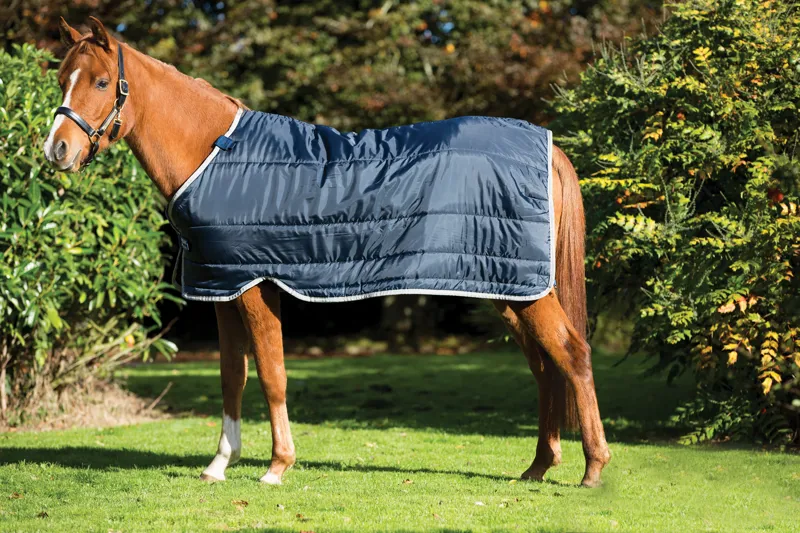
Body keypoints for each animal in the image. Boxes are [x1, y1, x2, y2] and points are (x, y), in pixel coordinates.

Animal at [43, 17, 610, 487]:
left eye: (100, 82)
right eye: (61, 79)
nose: (57, 150)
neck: (215, 154)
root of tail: (547, 147)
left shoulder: (255, 285)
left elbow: (271, 374)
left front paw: (277, 466)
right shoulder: (222, 286)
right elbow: (232, 377)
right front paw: (219, 464)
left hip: (525, 291)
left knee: (573, 355)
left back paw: (592, 470)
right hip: (506, 287)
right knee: (545, 366)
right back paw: (538, 467)